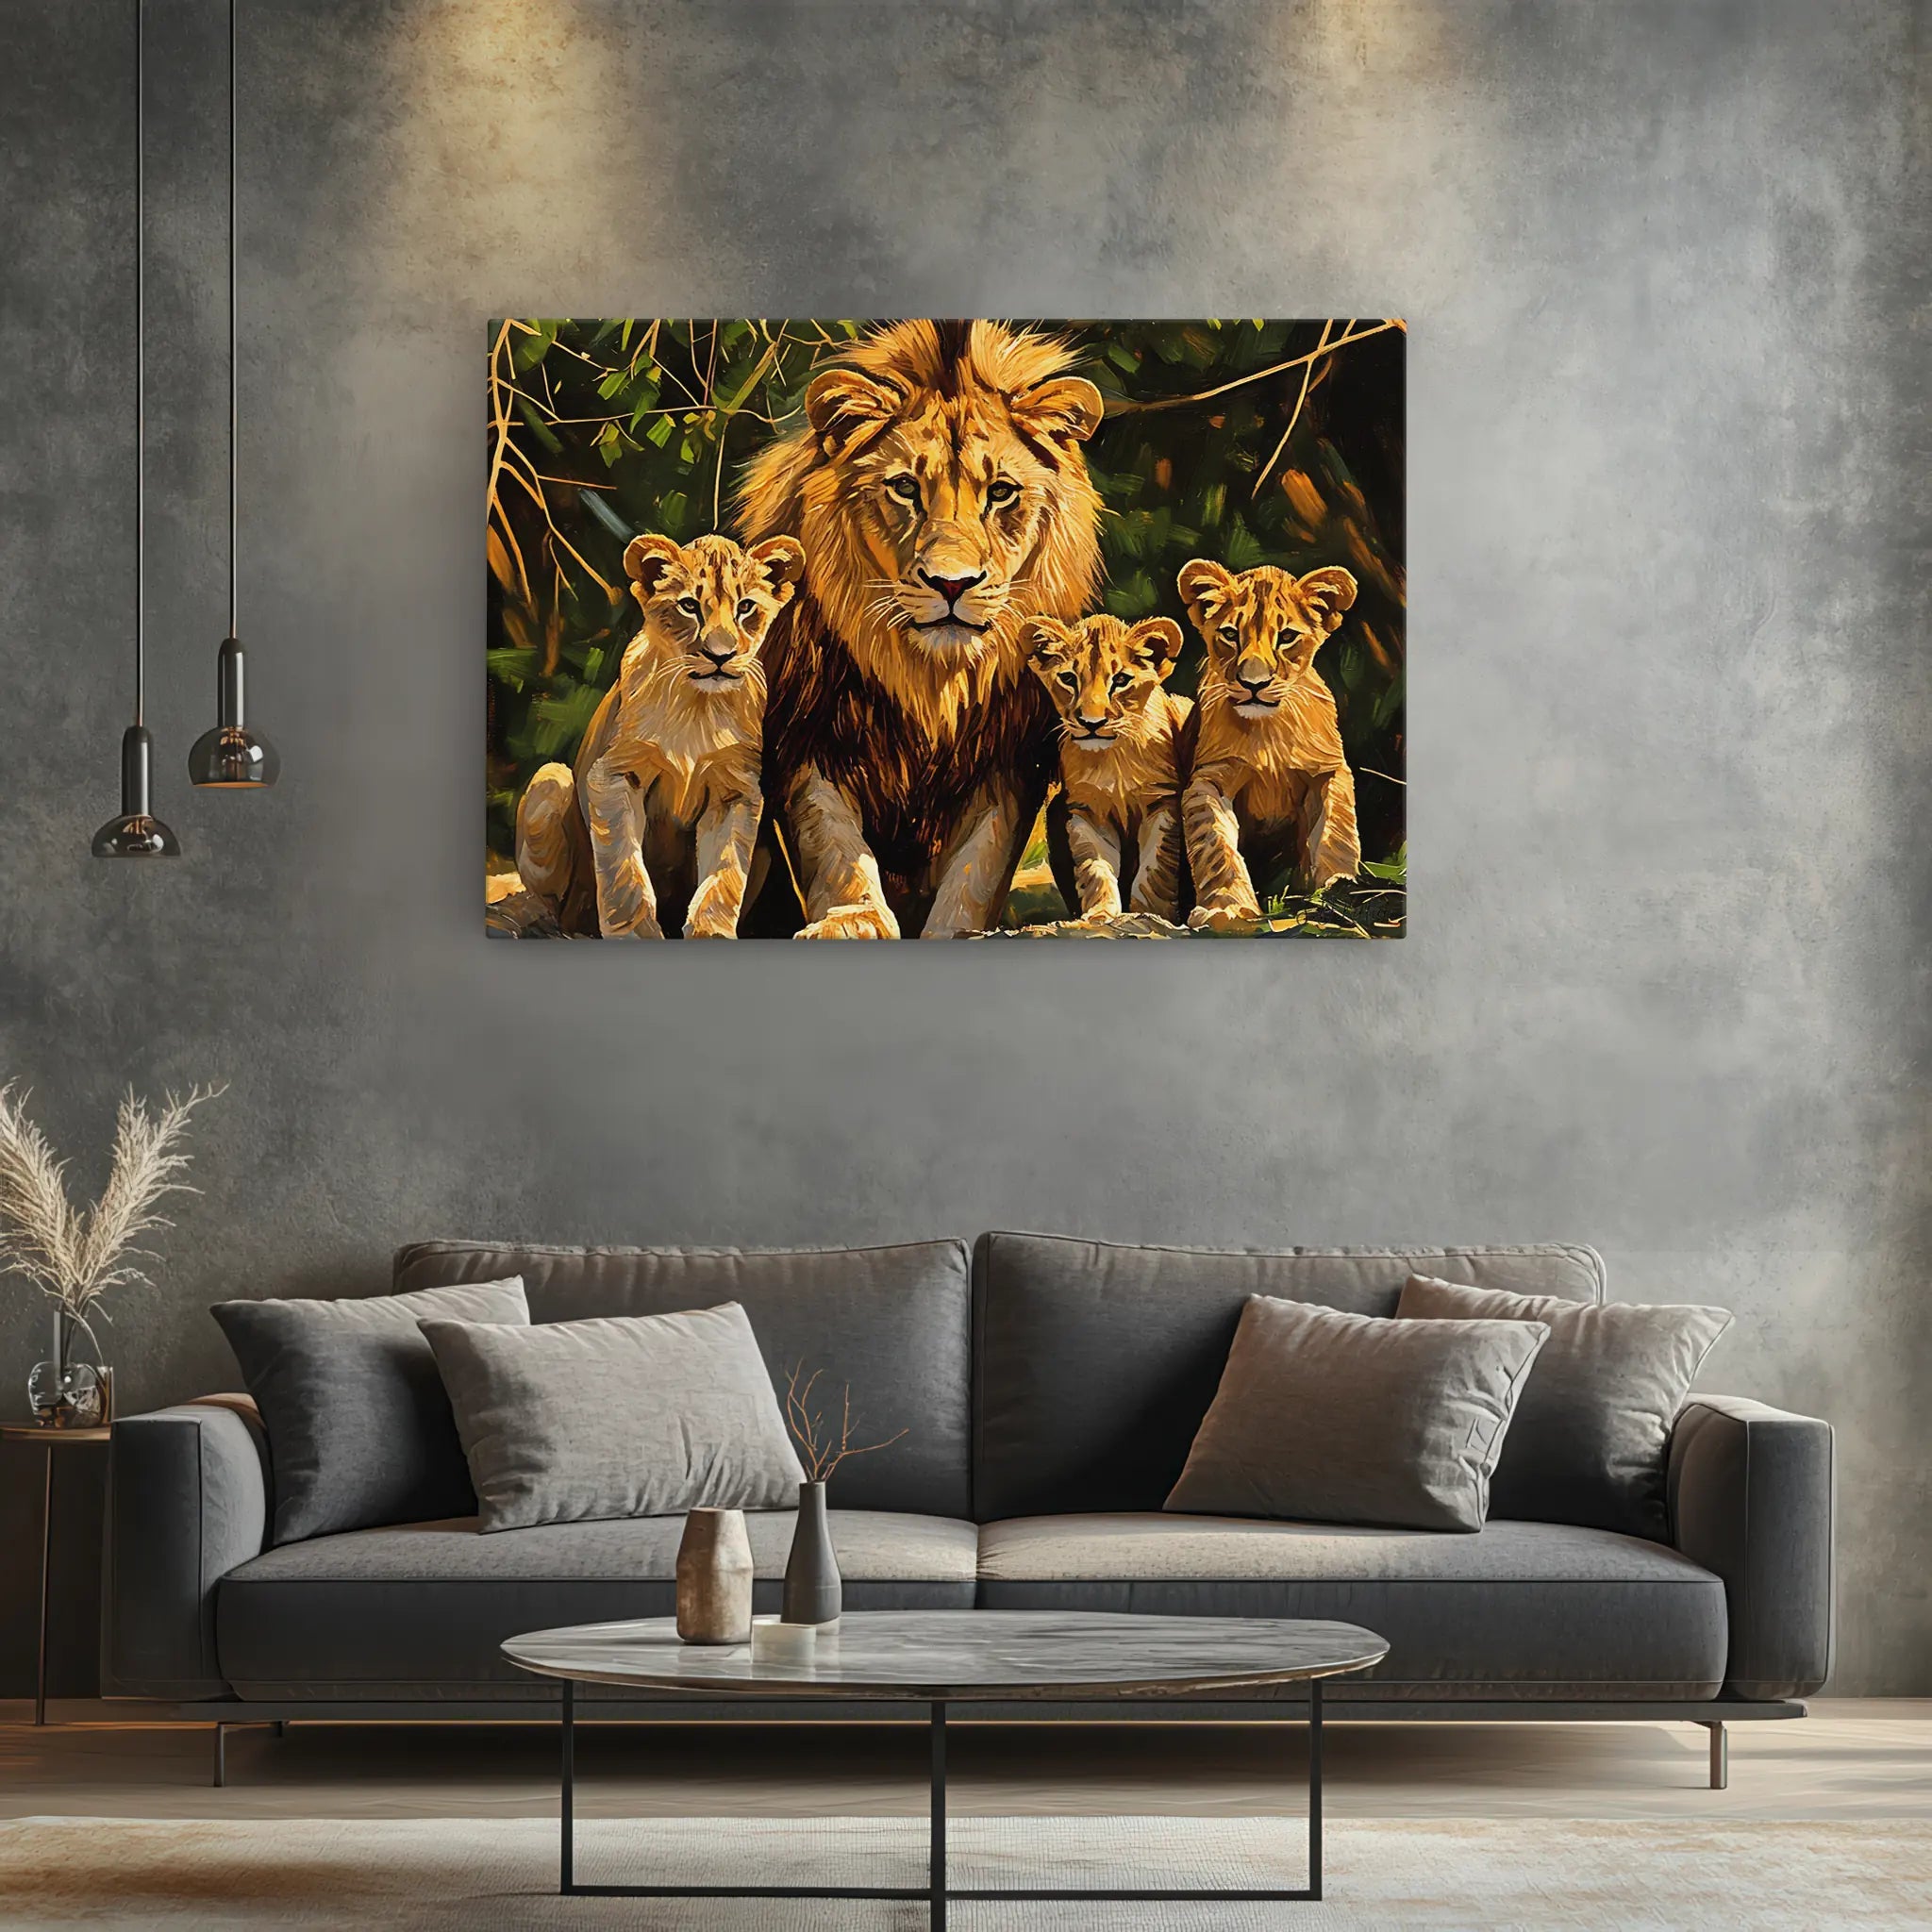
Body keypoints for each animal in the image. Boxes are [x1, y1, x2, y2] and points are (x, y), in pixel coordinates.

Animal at [514, 531, 804, 938]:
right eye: (688, 606)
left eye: (746, 607)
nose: (720, 655)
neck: (697, 706)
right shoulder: (614, 774)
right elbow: (624, 870)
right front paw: (634, 933)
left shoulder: (737, 790)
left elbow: (724, 875)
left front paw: (711, 932)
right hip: (551, 779)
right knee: (551, 899)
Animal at [735, 320, 1105, 938]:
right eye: (905, 488)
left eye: (1001, 492)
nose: (951, 584)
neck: (930, 680)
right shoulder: (808, 739)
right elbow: (835, 849)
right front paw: (853, 919)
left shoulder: (1006, 762)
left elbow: (977, 870)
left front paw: (956, 929)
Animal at [1023, 613, 1192, 923]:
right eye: (1068, 678)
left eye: (1121, 680)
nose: (1092, 723)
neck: (1112, 758)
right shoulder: (1086, 811)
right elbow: (1095, 868)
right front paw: (1100, 914)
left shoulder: (1162, 803)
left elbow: (1154, 868)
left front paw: (1150, 914)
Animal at [1175, 559, 1361, 931]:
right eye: (1230, 634)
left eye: (1287, 637)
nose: (1254, 684)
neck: (1268, 732)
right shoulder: (1209, 778)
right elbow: (1215, 843)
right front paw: (1228, 907)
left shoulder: (1327, 771)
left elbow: (1336, 832)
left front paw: (1339, 890)